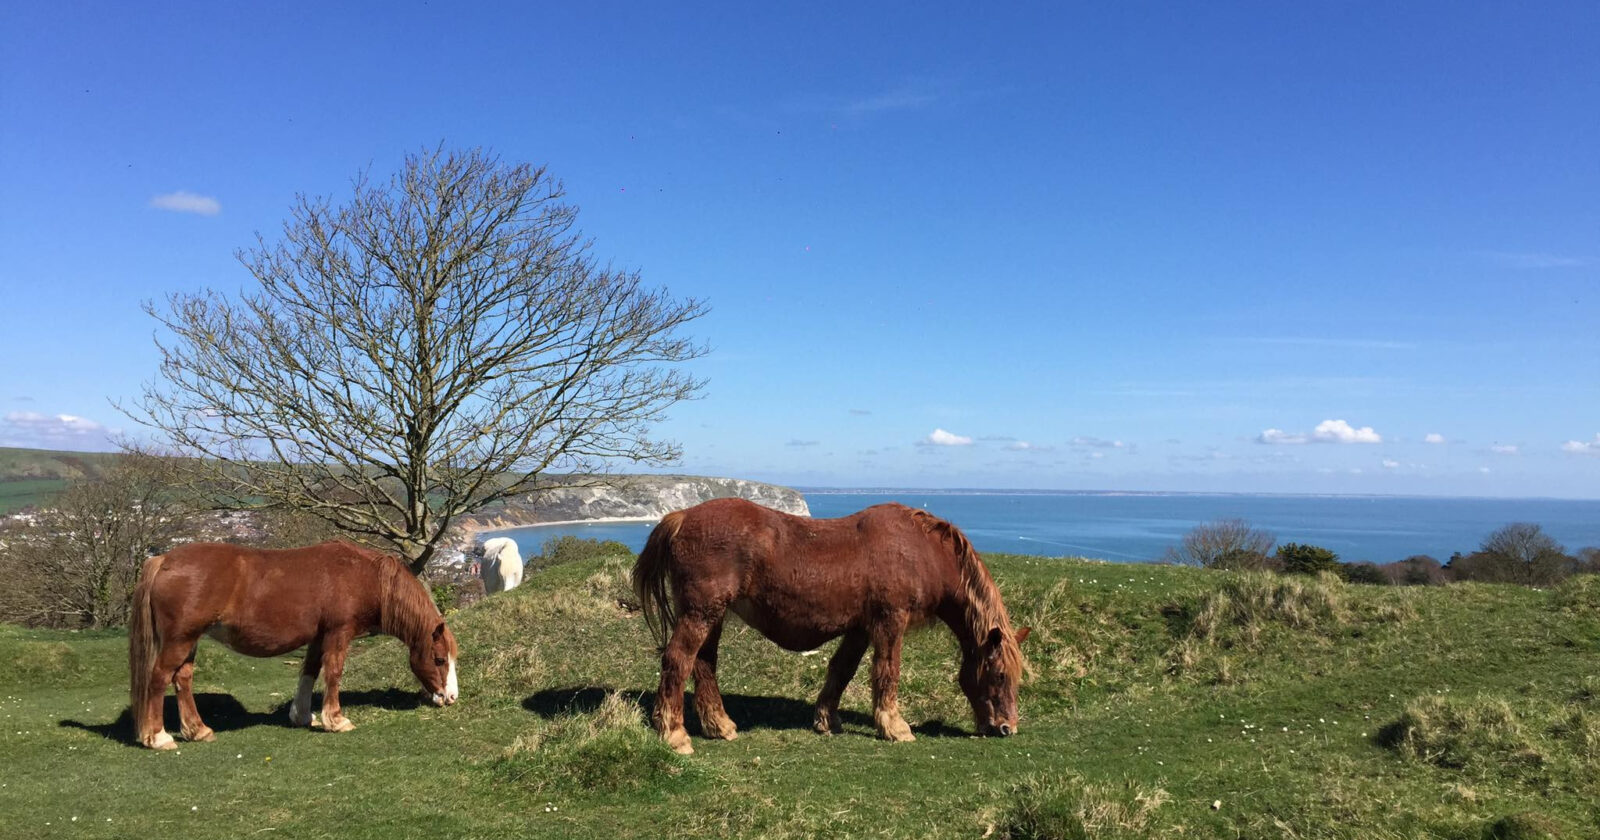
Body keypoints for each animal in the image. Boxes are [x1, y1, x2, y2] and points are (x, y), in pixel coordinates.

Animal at [128, 540, 459, 750]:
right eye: (440, 659)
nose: (451, 697)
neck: (364, 577)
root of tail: (164, 560)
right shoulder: (339, 632)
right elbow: (334, 672)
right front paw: (335, 720)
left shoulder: (319, 636)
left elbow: (310, 671)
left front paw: (302, 716)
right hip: (179, 640)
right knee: (159, 678)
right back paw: (158, 737)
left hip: (189, 641)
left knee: (182, 679)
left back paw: (198, 730)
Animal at [632, 498, 1028, 754]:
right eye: (999, 675)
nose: (1008, 728)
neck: (921, 551)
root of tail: (682, 516)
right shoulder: (890, 621)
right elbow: (888, 672)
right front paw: (894, 727)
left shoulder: (860, 628)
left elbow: (842, 670)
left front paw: (826, 720)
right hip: (700, 613)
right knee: (678, 660)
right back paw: (674, 733)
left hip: (711, 615)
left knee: (704, 664)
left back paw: (719, 725)